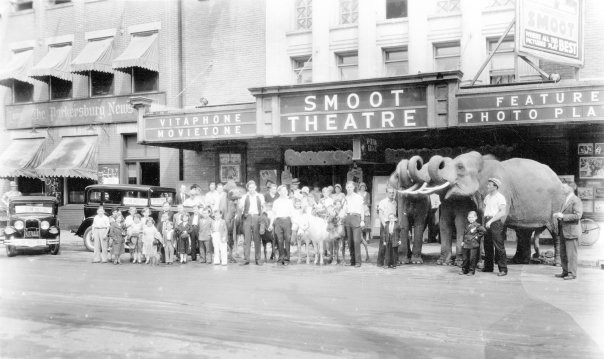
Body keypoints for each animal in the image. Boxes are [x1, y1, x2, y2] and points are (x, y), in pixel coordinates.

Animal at [410, 150, 568, 266]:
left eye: (460, 167)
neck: (483, 163)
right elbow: (481, 221)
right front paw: (481, 263)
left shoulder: (503, 190)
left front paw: (482, 263)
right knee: (524, 231)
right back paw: (519, 261)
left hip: (556, 202)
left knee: (555, 230)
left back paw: (557, 263)